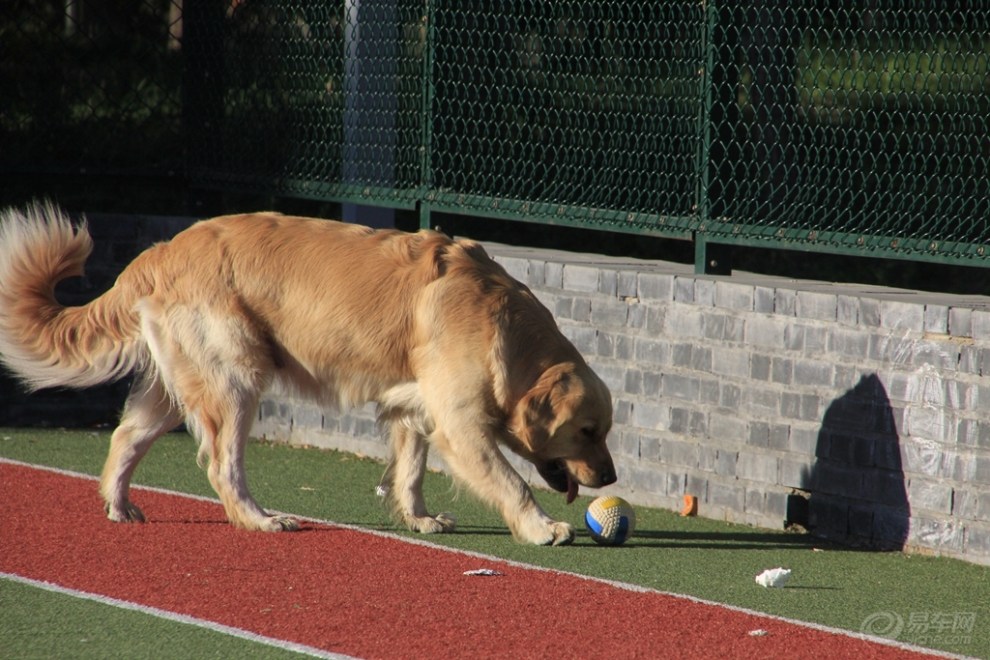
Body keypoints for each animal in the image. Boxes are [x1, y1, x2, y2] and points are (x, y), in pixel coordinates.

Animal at [0, 204, 616, 544]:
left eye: (605, 432)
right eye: (587, 431)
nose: (610, 480)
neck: (499, 318)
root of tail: (160, 251)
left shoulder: (413, 407)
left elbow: (409, 472)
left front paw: (418, 520)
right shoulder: (460, 426)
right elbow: (512, 481)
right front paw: (541, 528)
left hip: (180, 387)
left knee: (126, 436)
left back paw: (120, 505)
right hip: (236, 380)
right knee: (222, 465)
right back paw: (258, 520)